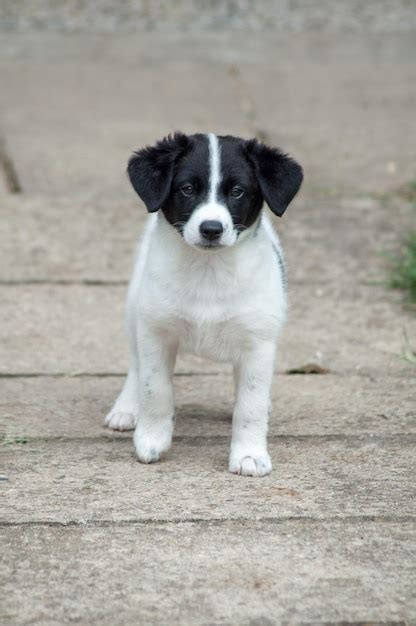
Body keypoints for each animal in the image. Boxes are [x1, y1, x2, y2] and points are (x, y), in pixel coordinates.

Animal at [105, 132, 304, 472]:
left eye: (237, 192)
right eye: (187, 189)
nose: (211, 229)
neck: (208, 270)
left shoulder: (257, 343)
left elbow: (249, 405)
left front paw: (249, 454)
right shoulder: (157, 331)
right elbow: (155, 389)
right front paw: (151, 439)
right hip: (135, 309)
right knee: (136, 364)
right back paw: (127, 407)